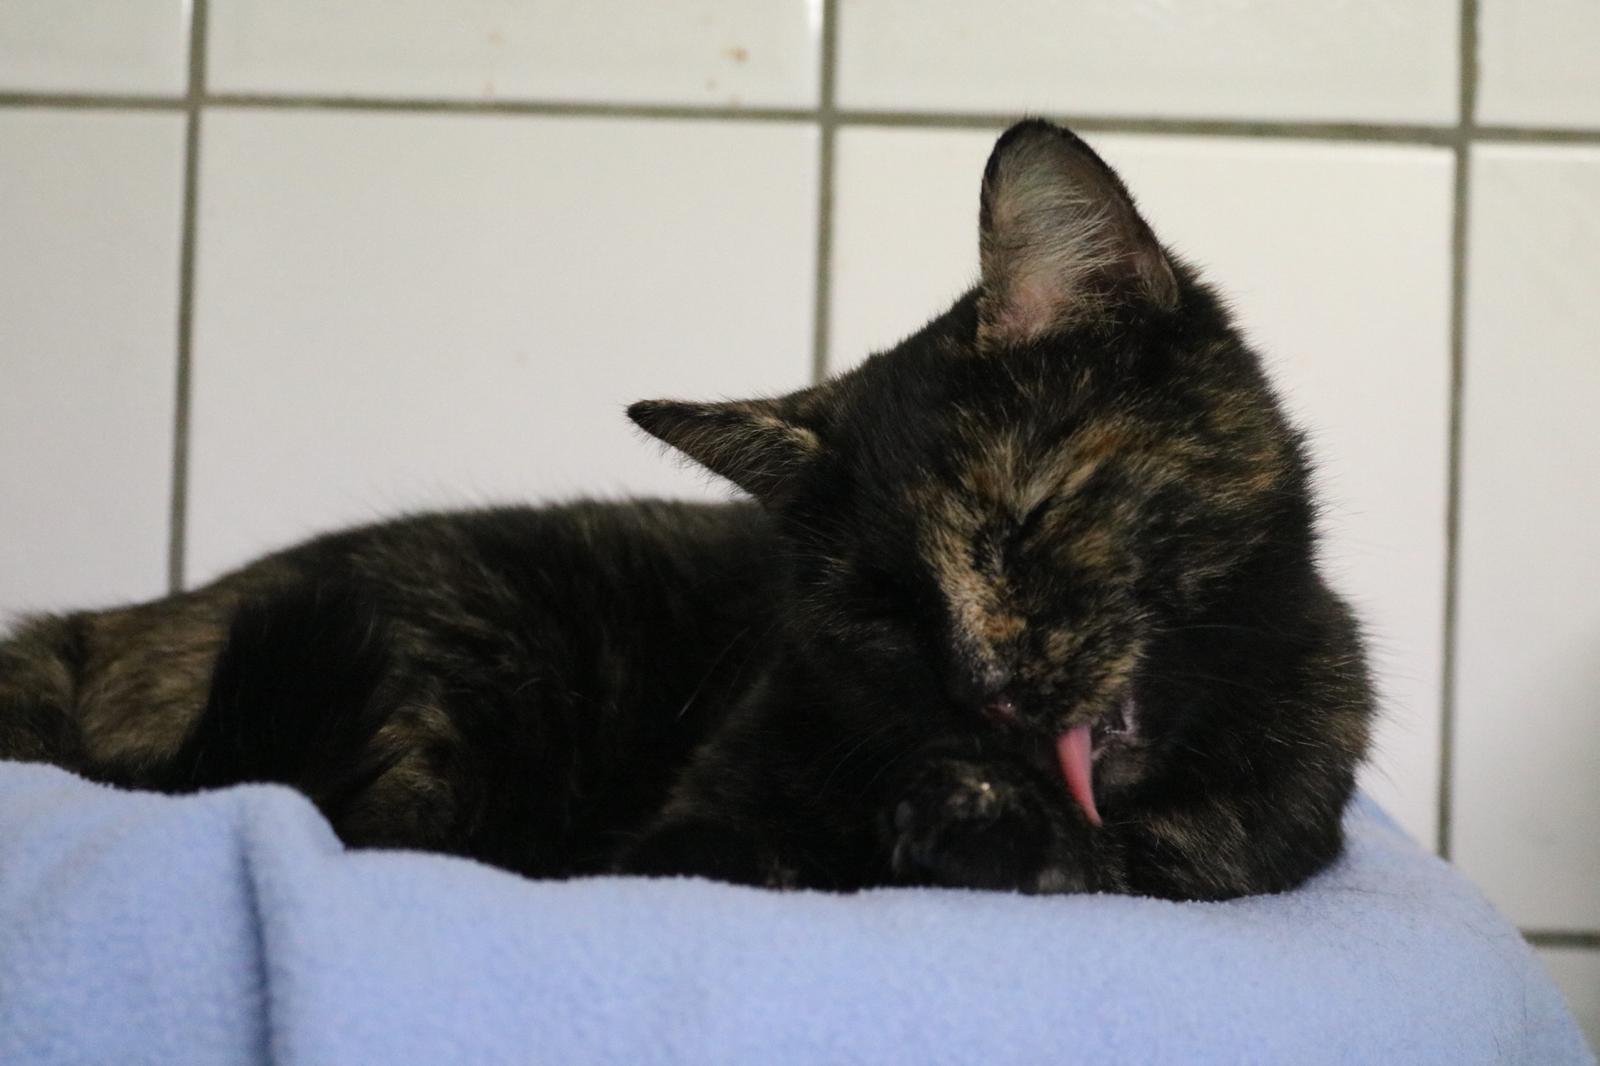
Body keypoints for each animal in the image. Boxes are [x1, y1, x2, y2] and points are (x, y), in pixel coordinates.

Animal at [0, 119, 1373, 900]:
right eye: (879, 611)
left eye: (1022, 526)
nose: (982, 692)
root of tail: (90, 635)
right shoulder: (682, 836)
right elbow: (788, 858)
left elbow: (1147, 865)